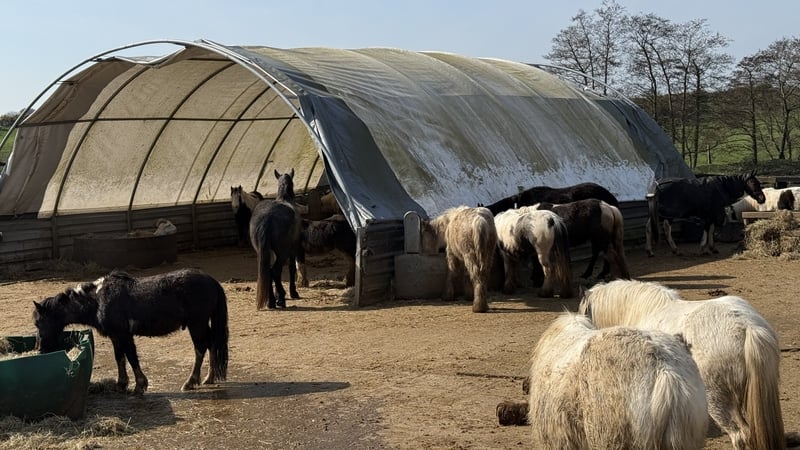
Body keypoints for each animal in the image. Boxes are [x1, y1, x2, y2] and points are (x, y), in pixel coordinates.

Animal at [32, 269, 229, 396]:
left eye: (38, 322)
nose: (39, 348)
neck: (99, 300)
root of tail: (211, 281)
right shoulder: (115, 336)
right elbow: (119, 357)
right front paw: (121, 384)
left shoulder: (124, 335)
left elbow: (132, 357)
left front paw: (140, 385)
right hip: (202, 324)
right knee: (212, 344)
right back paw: (209, 378)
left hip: (196, 324)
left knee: (201, 348)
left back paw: (191, 381)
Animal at [250, 169, 303, 310]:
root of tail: (267, 217)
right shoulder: (293, 248)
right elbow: (291, 268)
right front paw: (293, 292)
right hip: (282, 252)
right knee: (275, 271)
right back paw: (280, 299)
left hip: (264, 251)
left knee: (269, 271)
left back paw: (271, 301)